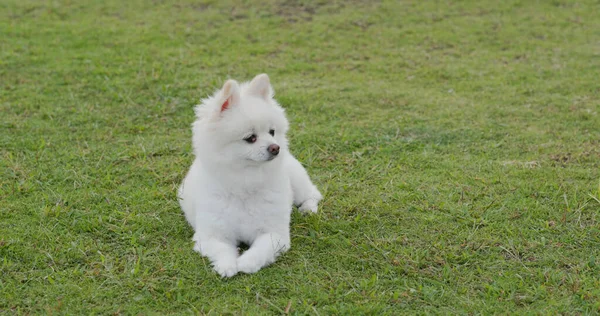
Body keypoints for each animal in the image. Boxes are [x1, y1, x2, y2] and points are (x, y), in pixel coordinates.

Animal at [178, 74, 324, 276]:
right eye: (250, 138)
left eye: (272, 132)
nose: (276, 147)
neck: (245, 182)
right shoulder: (211, 235)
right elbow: (222, 249)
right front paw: (227, 265)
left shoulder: (274, 233)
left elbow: (261, 249)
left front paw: (246, 262)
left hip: (298, 181)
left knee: (313, 194)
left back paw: (308, 208)